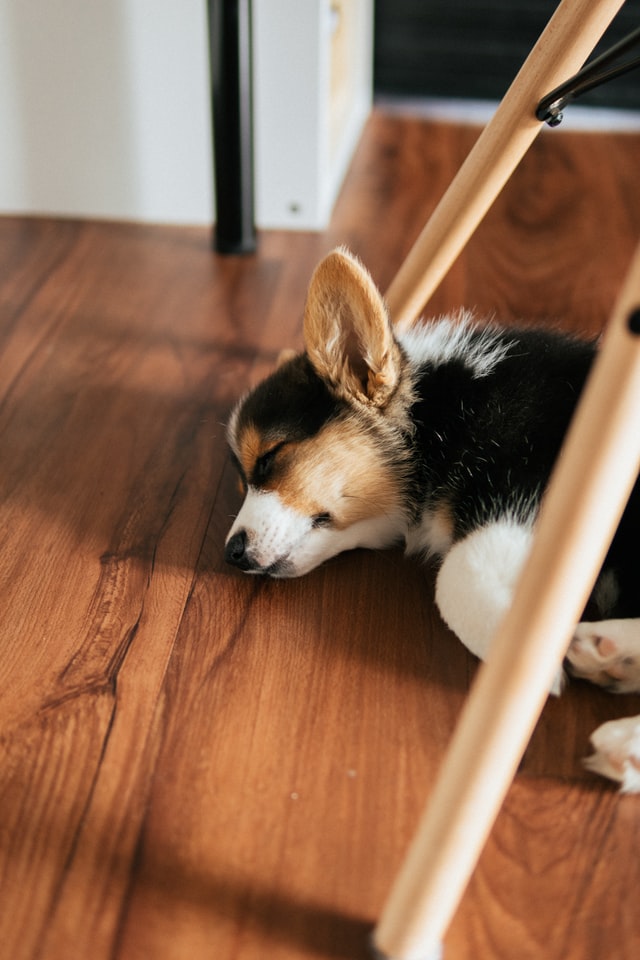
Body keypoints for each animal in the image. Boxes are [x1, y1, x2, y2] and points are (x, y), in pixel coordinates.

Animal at [224, 248, 640, 796]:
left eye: (271, 459)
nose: (229, 553)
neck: (439, 416)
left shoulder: (540, 487)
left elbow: (457, 575)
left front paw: (524, 656)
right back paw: (614, 660)